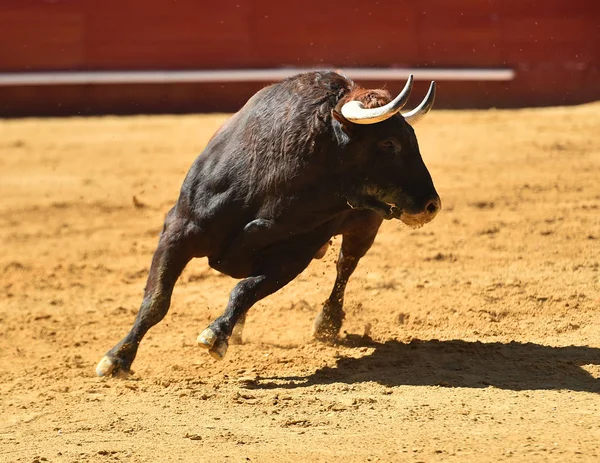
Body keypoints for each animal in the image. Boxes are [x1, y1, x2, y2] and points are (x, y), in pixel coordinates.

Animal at [95, 71, 440, 376]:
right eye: (388, 143)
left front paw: (216, 335)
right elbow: (156, 300)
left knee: (345, 266)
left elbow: (244, 290)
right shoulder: (178, 230)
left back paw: (326, 323)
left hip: (365, 226)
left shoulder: (294, 256)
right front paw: (117, 359)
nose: (431, 205)